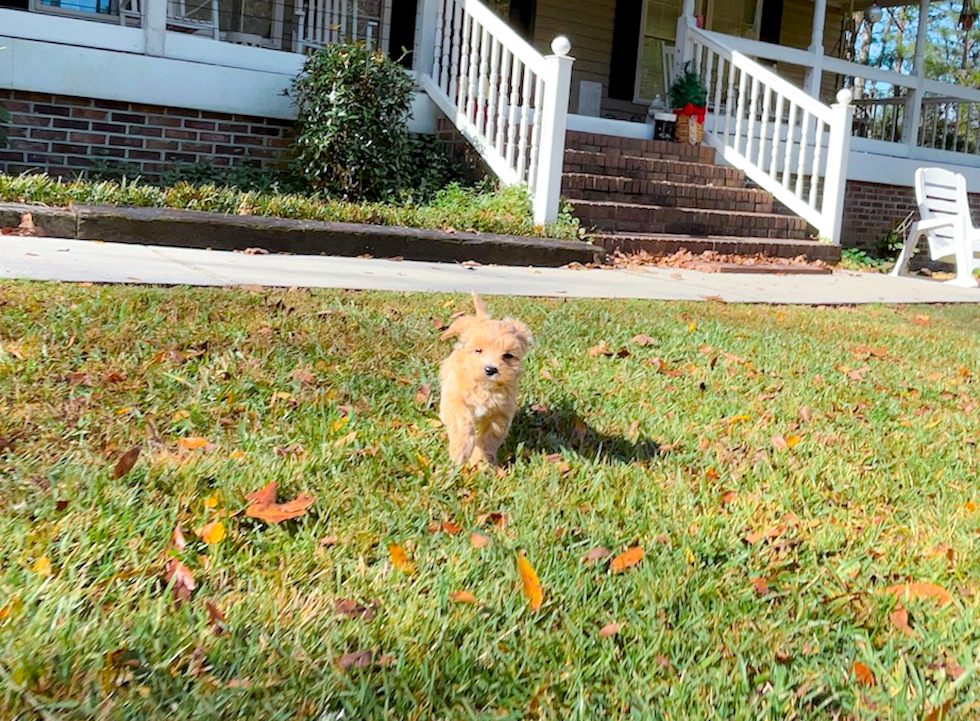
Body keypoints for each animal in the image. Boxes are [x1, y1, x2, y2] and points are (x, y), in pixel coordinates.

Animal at [436, 292, 528, 466]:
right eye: (478, 350)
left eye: (508, 355)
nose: (491, 369)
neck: (484, 389)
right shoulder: (454, 399)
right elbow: (462, 420)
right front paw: (461, 451)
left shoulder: (499, 415)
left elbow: (488, 438)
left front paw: (480, 460)